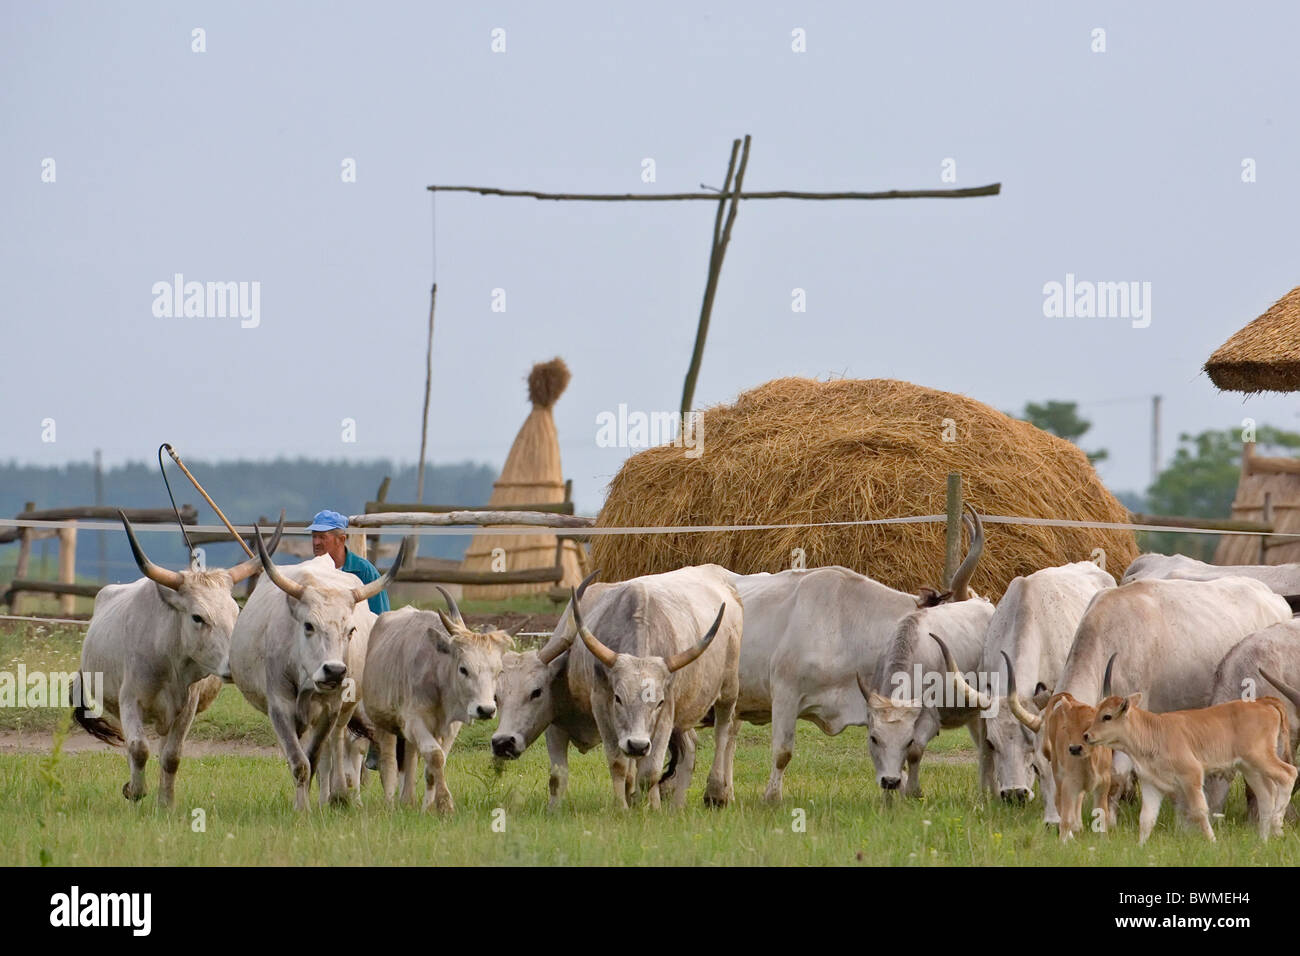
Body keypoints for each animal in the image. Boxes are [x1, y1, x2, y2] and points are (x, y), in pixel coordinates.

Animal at [72, 511, 282, 807]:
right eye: (197, 617)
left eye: (235, 612)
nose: (234, 665)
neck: (168, 659)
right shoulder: (129, 701)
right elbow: (138, 749)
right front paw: (134, 791)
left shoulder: (186, 709)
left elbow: (171, 757)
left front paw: (166, 803)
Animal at [228, 528, 411, 810]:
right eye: (308, 625)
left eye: (351, 630)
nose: (335, 671)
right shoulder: (279, 706)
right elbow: (299, 762)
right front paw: (301, 807)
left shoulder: (331, 708)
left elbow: (313, 758)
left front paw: (312, 803)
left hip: (345, 709)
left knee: (337, 743)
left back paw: (339, 793)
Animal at [360, 587, 510, 814]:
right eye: (463, 669)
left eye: (498, 671)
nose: (486, 710)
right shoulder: (415, 721)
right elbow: (435, 757)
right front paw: (445, 804)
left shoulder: (449, 729)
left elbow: (433, 765)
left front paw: (428, 808)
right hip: (383, 724)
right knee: (388, 763)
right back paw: (390, 803)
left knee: (410, 757)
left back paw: (408, 800)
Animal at [564, 564, 742, 809]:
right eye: (618, 698)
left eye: (658, 702)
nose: (637, 745)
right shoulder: (600, 702)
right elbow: (619, 763)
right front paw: (623, 807)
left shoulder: (667, 711)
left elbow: (650, 772)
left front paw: (653, 808)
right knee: (689, 747)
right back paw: (677, 806)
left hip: (728, 688)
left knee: (723, 733)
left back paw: (716, 792)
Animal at [1084, 692, 1297, 843]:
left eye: (1107, 716)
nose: (1086, 735)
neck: (1154, 733)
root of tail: (1261, 702)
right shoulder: (1152, 784)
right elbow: (1146, 819)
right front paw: (1140, 847)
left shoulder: (1191, 775)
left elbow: (1200, 811)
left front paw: (1213, 841)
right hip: (1250, 768)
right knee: (1266, 795)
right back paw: (1263, 840)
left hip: (1261, 758)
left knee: (1288, 774)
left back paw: (1277, 823)